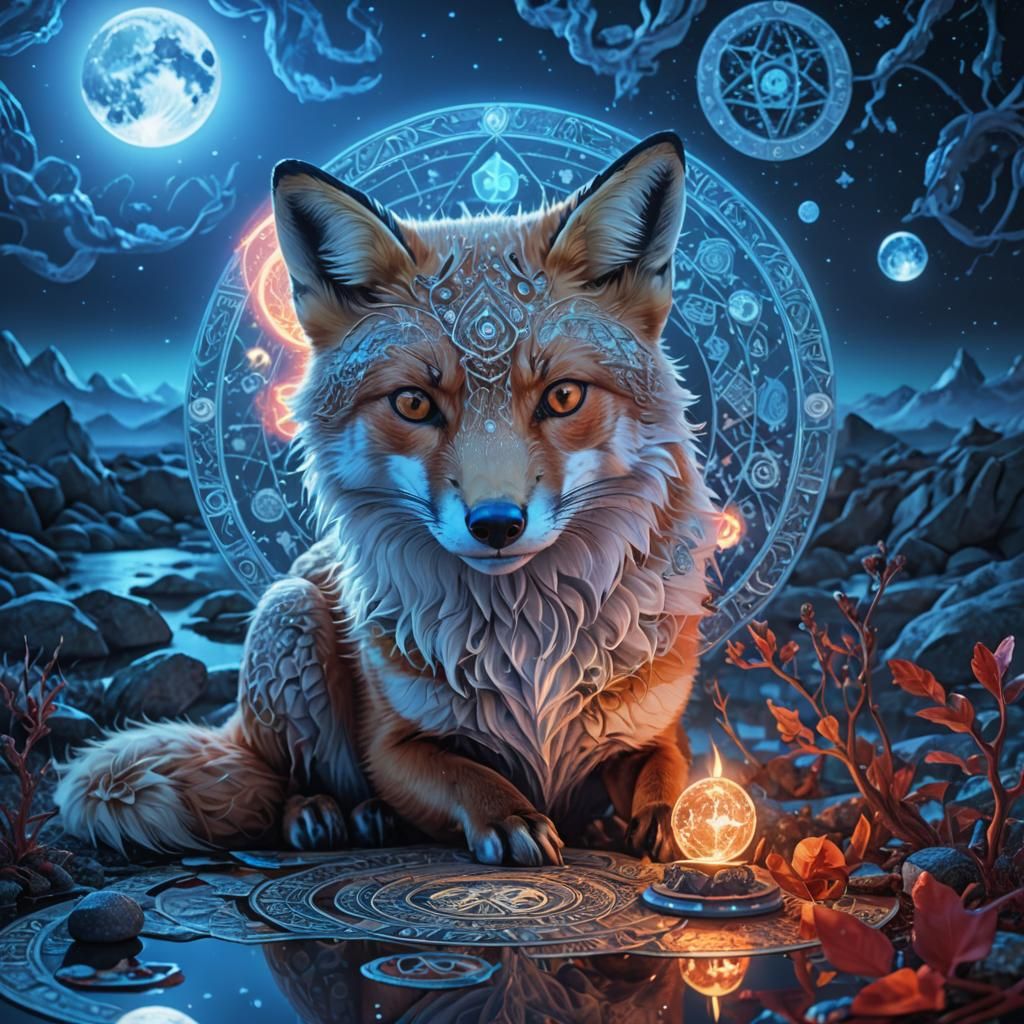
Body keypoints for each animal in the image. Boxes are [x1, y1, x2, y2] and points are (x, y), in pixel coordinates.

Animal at [56, 131, 719, 866]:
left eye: (564, 395)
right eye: (414, 403)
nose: (496, 524)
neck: (528, 647)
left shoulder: (656, 727)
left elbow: (667, 770)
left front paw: (674, 820)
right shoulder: (392, 748)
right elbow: (466, 774)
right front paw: (512, 817)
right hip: (290, 614)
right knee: (284, 781)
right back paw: (328, 813)